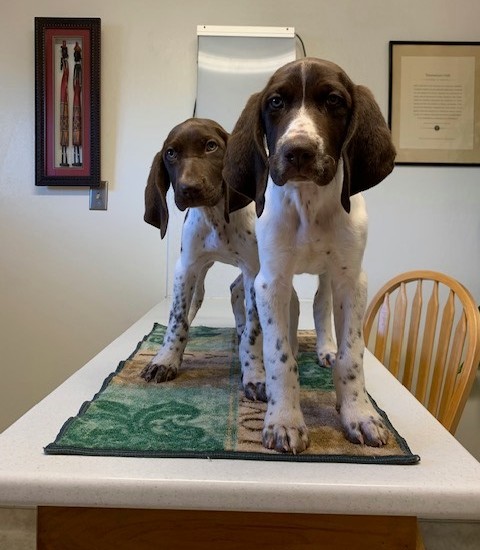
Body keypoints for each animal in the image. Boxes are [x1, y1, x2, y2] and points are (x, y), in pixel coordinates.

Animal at [223, 58, 396, 454]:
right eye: (275, 102)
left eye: (333, 100)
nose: (298, 151)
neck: (309, 203)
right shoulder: (272, 280)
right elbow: (279, 356)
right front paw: (284, 420)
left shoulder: (351, 279)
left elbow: (353, 355)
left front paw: (359, 415)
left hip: (329, 275)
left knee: (319, 303)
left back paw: (325, 349)